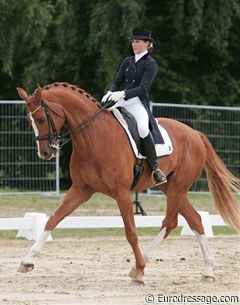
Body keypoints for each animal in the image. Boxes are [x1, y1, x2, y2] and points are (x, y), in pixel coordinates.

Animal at [16, 82, 240, 282]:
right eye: (29, 120)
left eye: (41, 118)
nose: (45, 153)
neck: (94, 135)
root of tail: (195, 134)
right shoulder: (81, 189)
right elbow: (53, 219)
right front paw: (27, 261)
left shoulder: (121, 192)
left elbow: (131, 232)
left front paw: (140, 271)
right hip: (170, 188)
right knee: (194, 220)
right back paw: (207, 271)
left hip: (178, 187)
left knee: (170, 222)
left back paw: (143, 264)